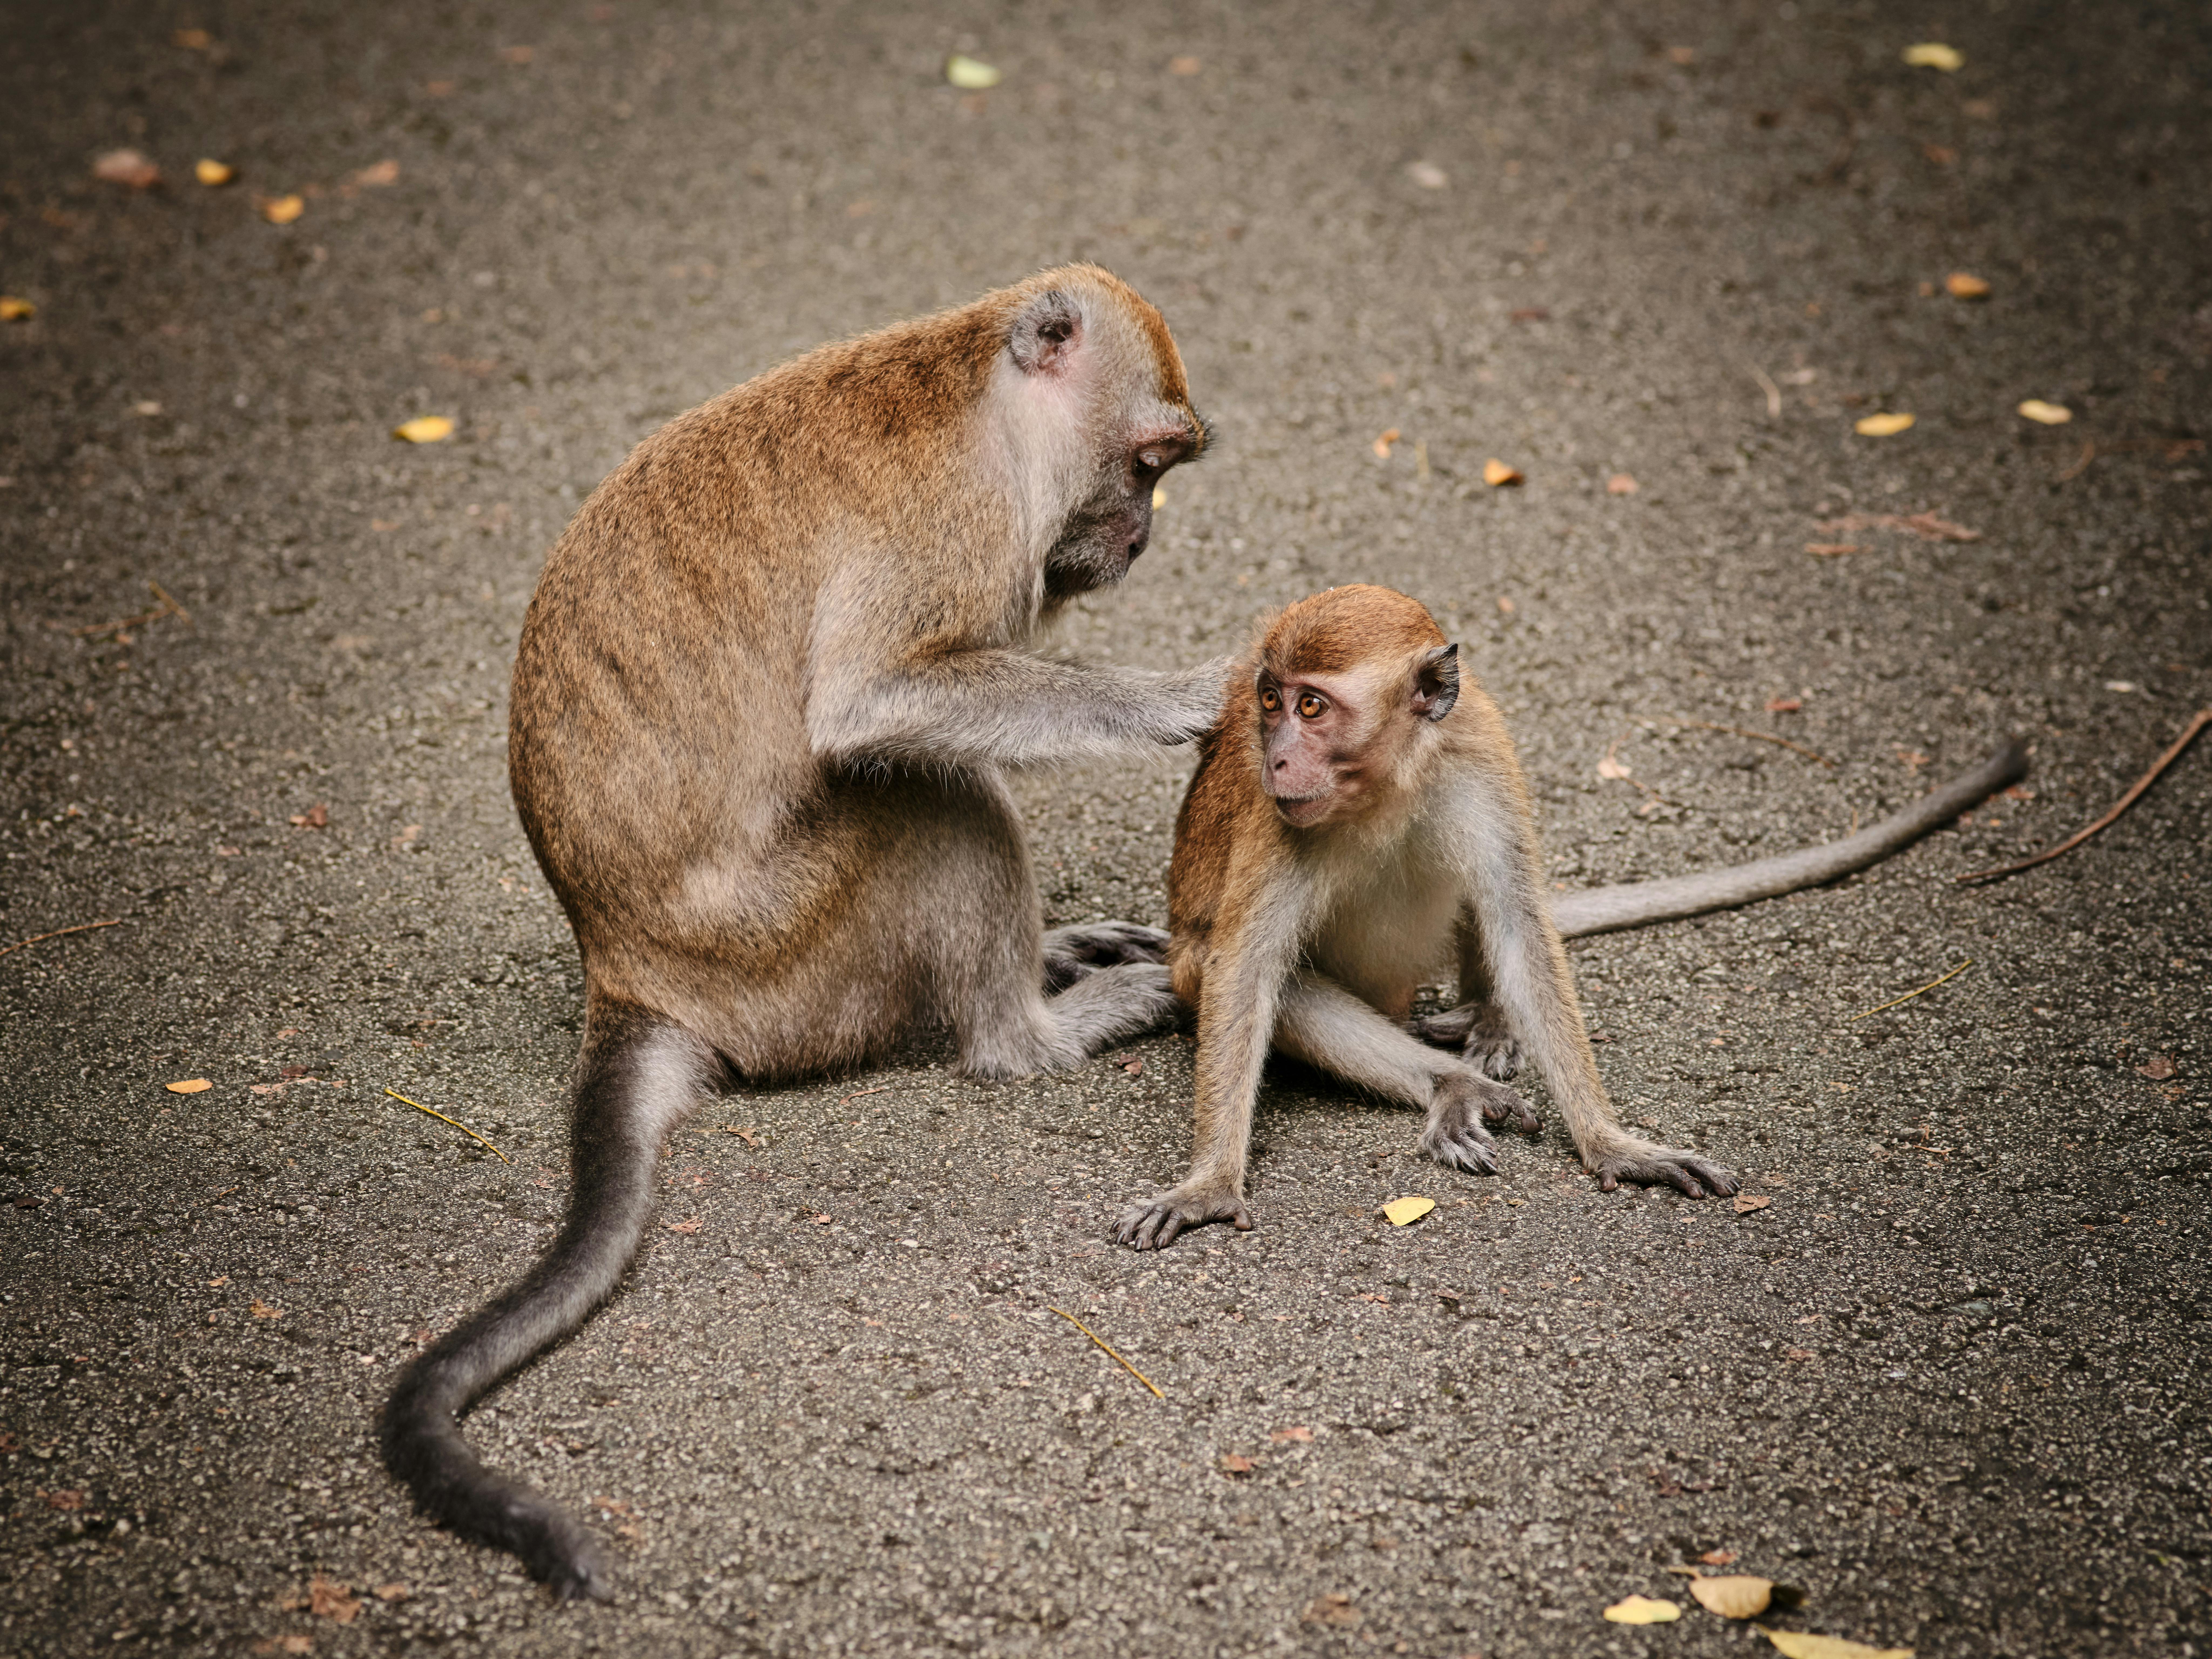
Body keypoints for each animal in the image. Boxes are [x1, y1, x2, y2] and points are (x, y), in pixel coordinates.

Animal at [383, 267, 1227, 1598]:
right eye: (1146, 464)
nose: (1142, 537)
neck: (981, 392)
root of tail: (629, 974)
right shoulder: (954, 524)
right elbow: (875, 701)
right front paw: (1183, 697)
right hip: (793, 946)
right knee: (934, 790)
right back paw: (1031, 1033)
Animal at [1114, 585, 2027, 1250]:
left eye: (1312, 708)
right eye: (1269, 701)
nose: (1275, 758)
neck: (1391, 779)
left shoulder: (1481, 746)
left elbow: (1522, 927)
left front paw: (1611, 1143)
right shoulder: (1280, 820)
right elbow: (1248, 968)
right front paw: (1210, 1185)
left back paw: (1484, 1025)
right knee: (1264, 976)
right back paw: (1452, 1086)